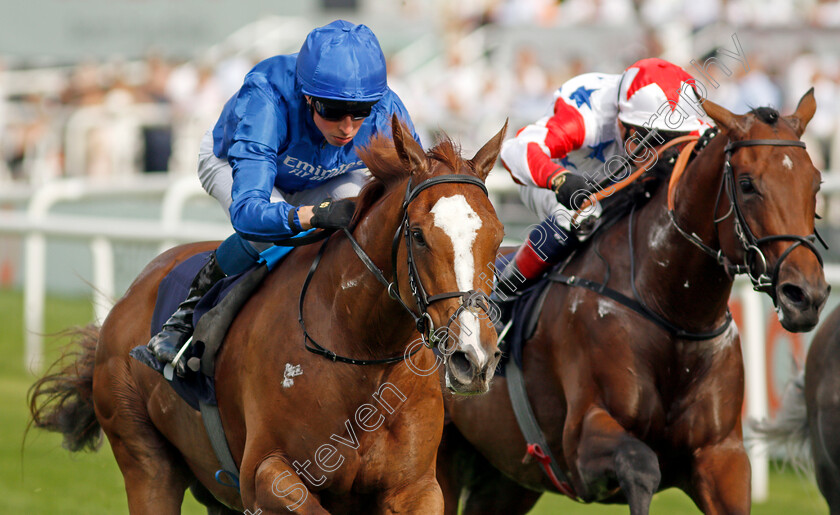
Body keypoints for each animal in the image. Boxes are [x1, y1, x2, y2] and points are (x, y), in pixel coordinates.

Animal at [29, 119, 508, 512]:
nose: (474, 358)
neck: (361, 352)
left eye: (499, 233)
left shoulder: (416, 487)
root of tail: (134, 291)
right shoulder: (265, 475)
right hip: (144, 458)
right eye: (419, 235)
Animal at [440, 92, 828, 515]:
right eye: (747, 184)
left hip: (507, 478)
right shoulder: (582, 442)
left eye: (816, 182)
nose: (806, 295)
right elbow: (640, 464)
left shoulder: (722, 456)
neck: (672, 312)